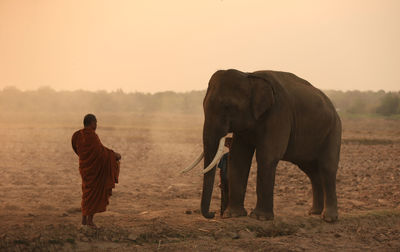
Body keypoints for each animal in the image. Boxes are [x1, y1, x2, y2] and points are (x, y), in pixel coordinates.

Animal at [181, 69, 340, 222]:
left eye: (228, 107)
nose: (213, 214)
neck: (249, 76)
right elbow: (238, 157)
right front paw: (233, 215)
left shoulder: (279, 113)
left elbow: (267, 156)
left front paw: (260, 218)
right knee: (311, 171)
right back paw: (314, 212)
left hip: (333, 130)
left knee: (327, 168)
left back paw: (328, 218)